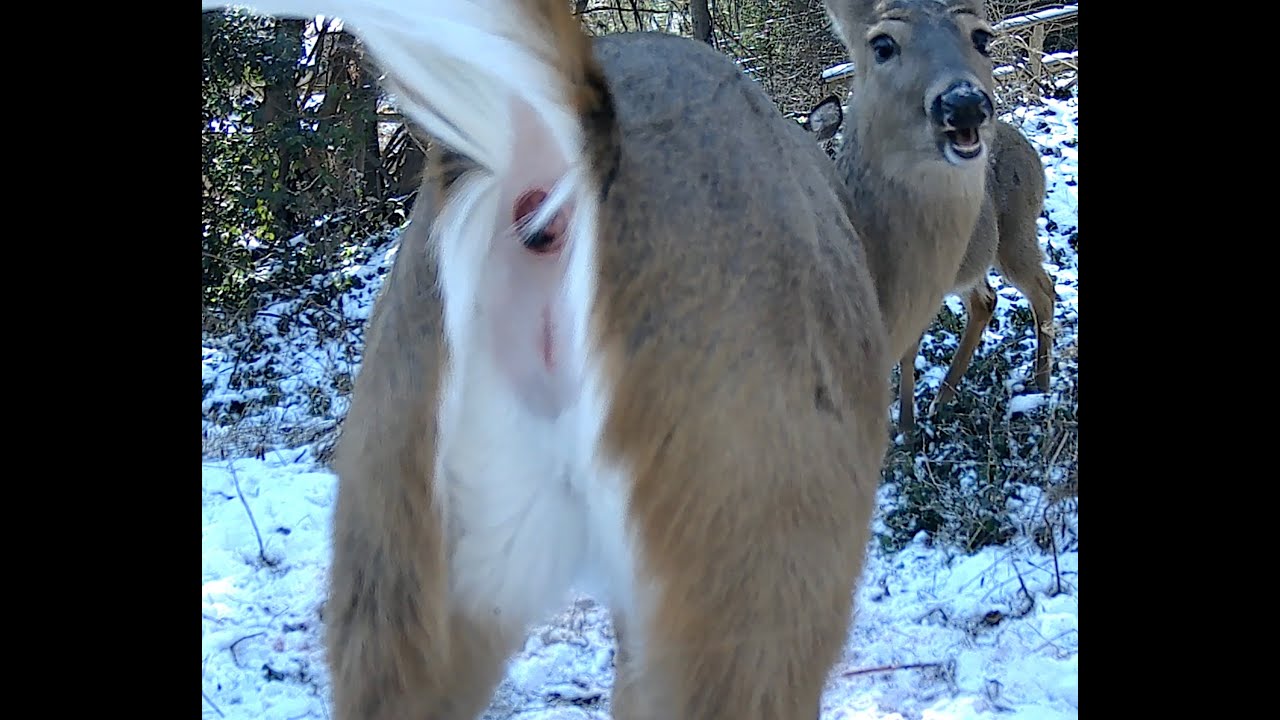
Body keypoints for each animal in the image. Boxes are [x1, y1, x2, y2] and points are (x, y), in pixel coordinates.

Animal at [815, 0, 1057, 439]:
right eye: (882, 45)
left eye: (982, 37)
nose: (964, 104)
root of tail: (1030, 151)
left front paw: (906, 427)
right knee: (987, 300)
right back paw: (944, 397)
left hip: (1017, 231)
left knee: (1043, 289)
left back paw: (1040, 386)